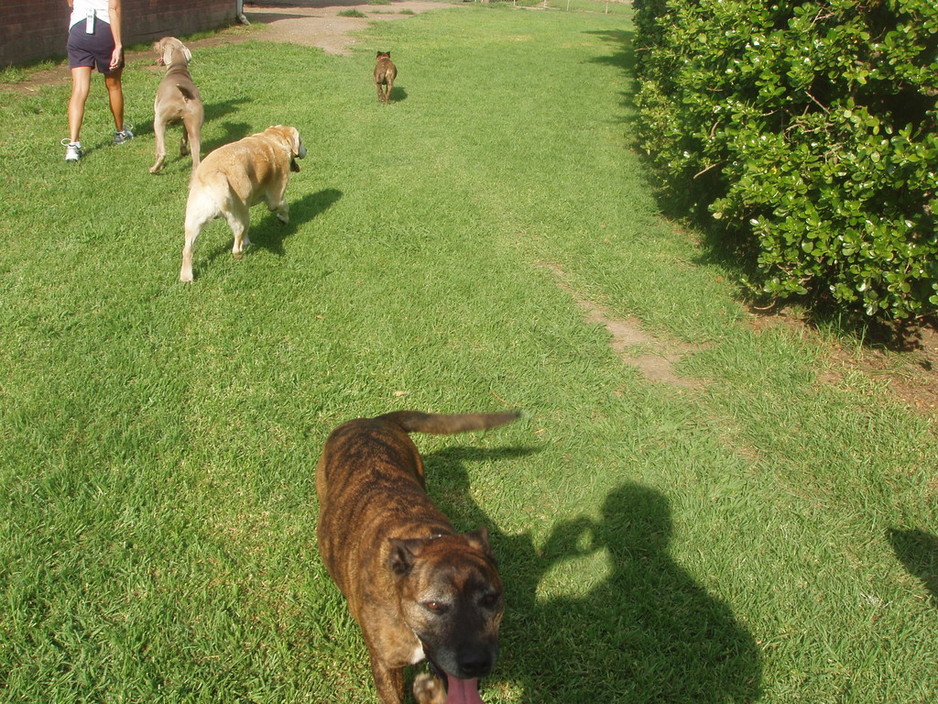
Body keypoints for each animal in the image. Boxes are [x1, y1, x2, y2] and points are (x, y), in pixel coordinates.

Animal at [150, 36, 203, 173]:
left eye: (161, 43)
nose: (153, 43)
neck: (177, 68)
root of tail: (184, 96)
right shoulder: (185, 121)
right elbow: (184, 136)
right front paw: (183, 150)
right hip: (195, 125)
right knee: (196, 159)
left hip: (159, 120)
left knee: (162, 152)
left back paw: (155, 168)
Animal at [177, 125, 306, 282]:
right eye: (301, 141)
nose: (306, 150)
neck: (273, 138)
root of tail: (214, 174)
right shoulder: (276, 198)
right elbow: (283, 207)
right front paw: (283, 219)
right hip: (242, 214)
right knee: (238, 241)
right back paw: (242, 252)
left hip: (194, 221)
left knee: (187, 249)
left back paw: (186, 277)